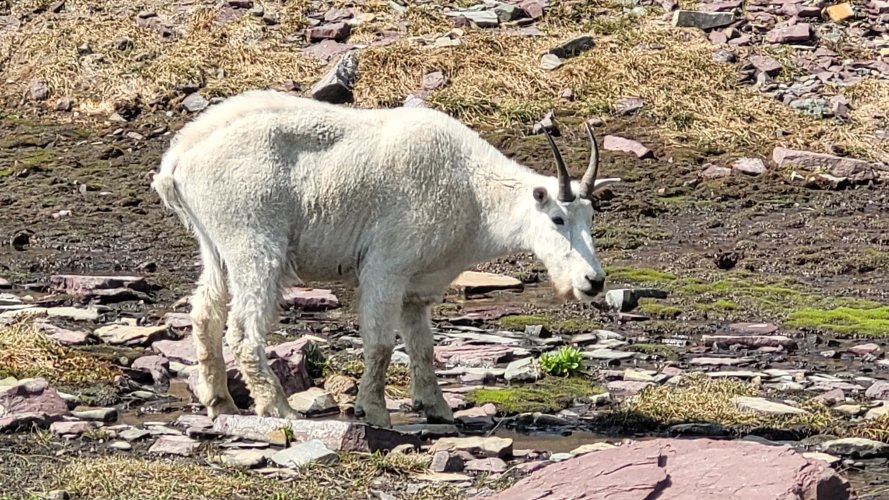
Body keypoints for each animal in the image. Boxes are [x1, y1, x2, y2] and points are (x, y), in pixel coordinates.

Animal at [149, 89, 620, 426]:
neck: (472, 191)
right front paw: (373, 411)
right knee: (244, 330)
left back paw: (220, 402)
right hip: (252, 241)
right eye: (558, 218)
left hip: (215, 247)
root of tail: (177, 162)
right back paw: (279, 409)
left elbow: (423, 346)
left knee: (205, 314)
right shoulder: (386, 268)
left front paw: (437, 409)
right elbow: (379, 342)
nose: (593, 281)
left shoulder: (417, 286)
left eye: (591, 216)